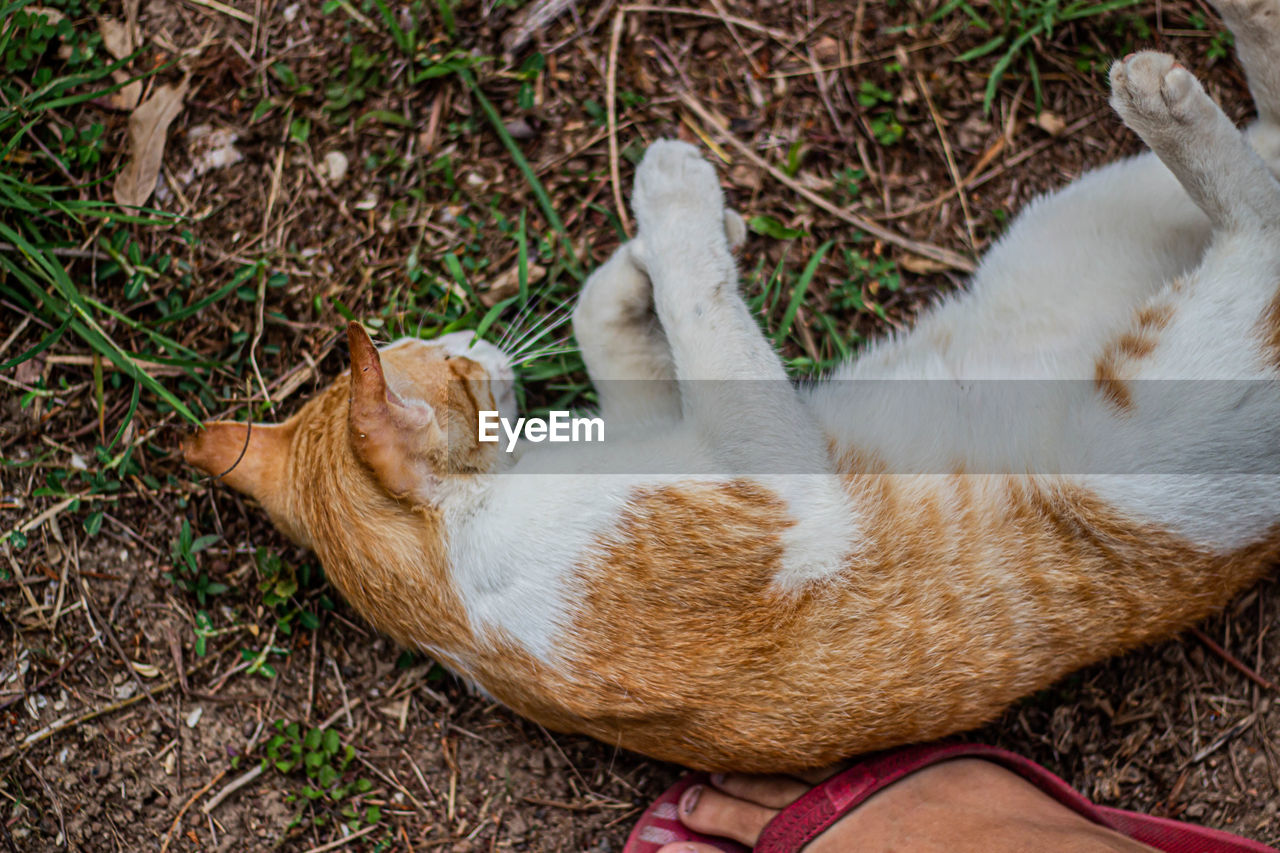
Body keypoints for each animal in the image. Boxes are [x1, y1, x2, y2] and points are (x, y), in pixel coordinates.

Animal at [185, 0, 1280, 768]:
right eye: (445, 357)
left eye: (424, 335)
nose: (475, 339)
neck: (467, 548)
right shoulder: (779, 487)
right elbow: (705, 307)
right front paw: (675, 204)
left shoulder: (664, 425)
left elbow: (613, 322)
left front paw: (638, 265)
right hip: (1151, 411)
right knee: (1259, 218)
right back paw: (1163, 91)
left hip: (1080, 217)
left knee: (1271, 148)